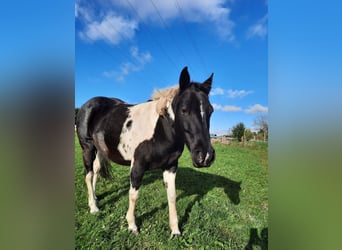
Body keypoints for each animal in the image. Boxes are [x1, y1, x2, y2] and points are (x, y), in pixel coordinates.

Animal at [77, 67, 216, 236]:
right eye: (184, 110)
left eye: (210, 111)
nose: (205, 156)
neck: (159, 130)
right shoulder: (138, 165)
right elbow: (133, 195)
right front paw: (132, 225)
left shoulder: (170, 166)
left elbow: (172, 196)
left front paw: (175, 230)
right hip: (87, 148)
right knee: (88, 175)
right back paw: (94, 207)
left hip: (100, 149)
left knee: (95, 171)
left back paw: (95, 198)